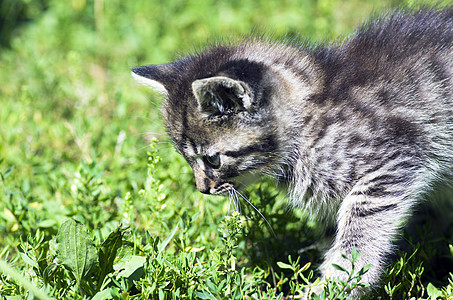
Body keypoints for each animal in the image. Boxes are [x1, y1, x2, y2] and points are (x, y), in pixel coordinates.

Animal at [132, 7, 450, 298]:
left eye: (212, 160)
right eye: (187, 159)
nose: (202, 189)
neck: (308, 122)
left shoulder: (392, 161)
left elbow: (359, 230)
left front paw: (338, 283)